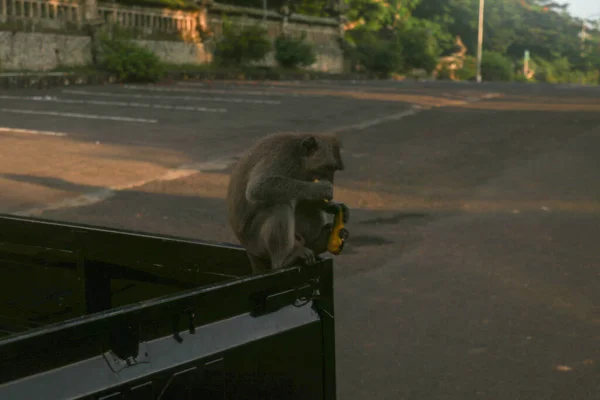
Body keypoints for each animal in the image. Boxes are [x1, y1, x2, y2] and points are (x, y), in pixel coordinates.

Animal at [226, 133, 350, 274]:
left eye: (335, 170)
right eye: (328, 168)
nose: (332, 182)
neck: (300, 161)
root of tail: (249, 251)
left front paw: (334, 206)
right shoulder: (284, 159)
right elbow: (258, 187)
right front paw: (319, 189)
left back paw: (319, 242)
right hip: (255, 242)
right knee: (280, 206)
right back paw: (284, 260)